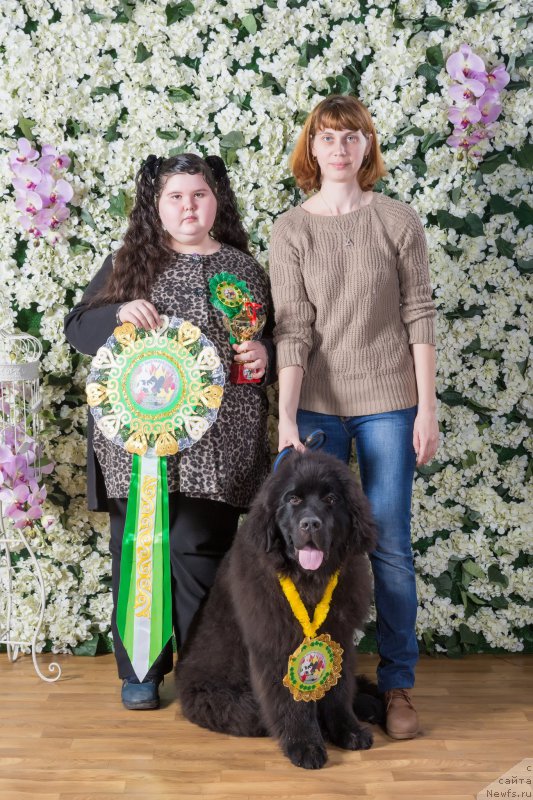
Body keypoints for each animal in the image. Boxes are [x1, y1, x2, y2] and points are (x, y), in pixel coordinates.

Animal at [178, 450, 378, 768]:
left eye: (331, 499)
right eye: (293, 499)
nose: (310, 524)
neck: (309, 580)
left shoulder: (338, 636)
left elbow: (339, 689)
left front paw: (349, 730)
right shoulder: (276, 643)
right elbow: (291, 700)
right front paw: (305, 745)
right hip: (224, 700)